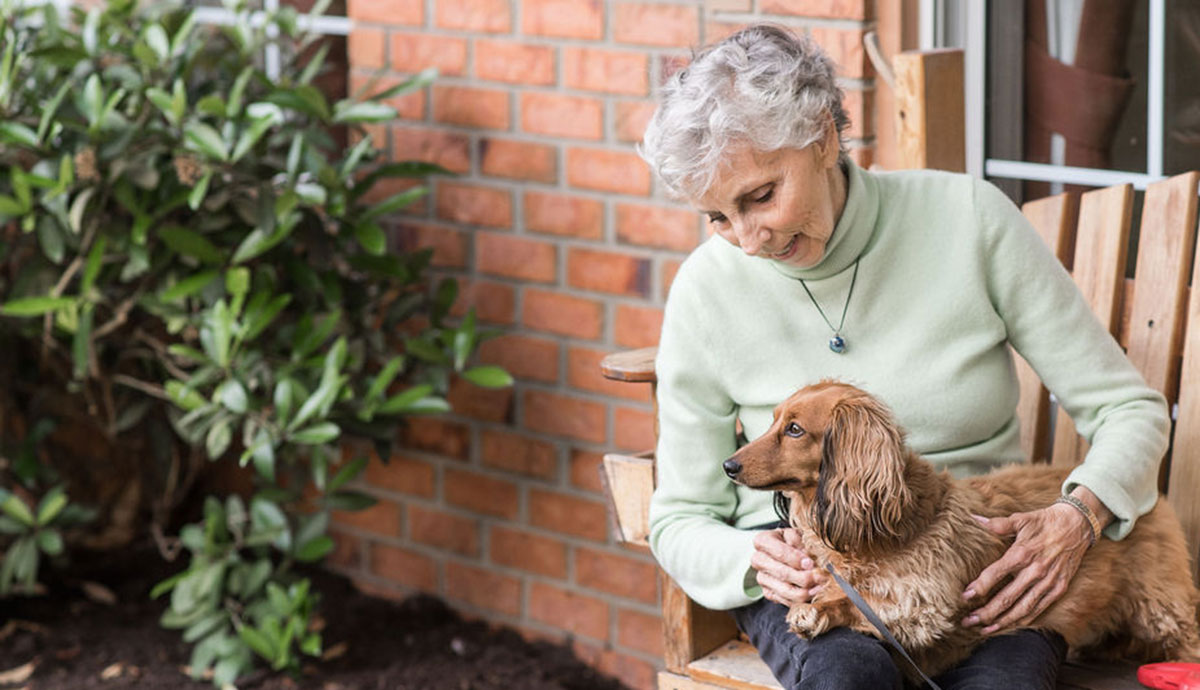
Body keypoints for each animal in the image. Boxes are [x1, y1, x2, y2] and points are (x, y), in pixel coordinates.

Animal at [720, 381, 1200, 681]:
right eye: (773, 420)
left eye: (794, 429)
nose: (728, 465)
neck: (893, 527)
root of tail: (1148, 496)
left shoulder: (925, 602)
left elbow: (863, 603)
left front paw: (817, 609)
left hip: (1162, 607)